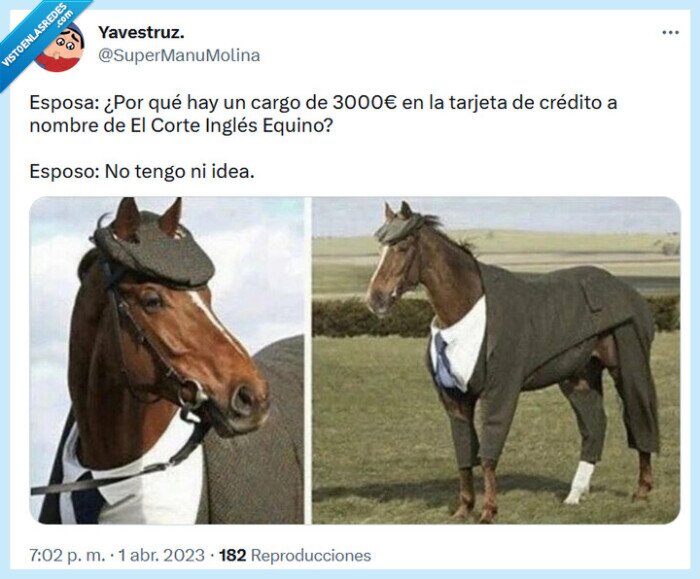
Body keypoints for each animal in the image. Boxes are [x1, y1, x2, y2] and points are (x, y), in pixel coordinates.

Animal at [366, 201, 659, 524]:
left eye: (403, 246)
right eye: (380, 247)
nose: (375, 299)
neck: (468, 309)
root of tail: (627, 291)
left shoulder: (499, 391)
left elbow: (488, 451)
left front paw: (488, 511)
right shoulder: (455, 399)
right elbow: (464, 451)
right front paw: (463, 509)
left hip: (628, 364)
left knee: (640, 417)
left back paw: (642, 491)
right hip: (579, 377)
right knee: (594, 426)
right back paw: (574, 495)